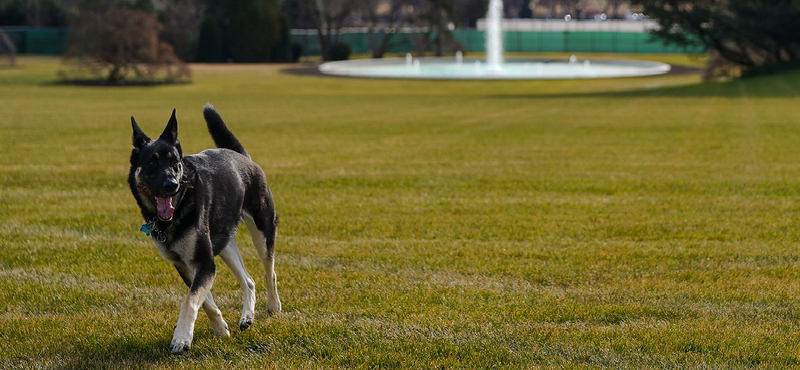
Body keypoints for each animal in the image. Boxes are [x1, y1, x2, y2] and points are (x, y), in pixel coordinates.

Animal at [128, 105, 282, 356]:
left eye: (176, 162)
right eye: (151, 163)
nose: (172, 185)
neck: (178, 209)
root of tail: (243, 157)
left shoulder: (205, 262)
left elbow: (190, 300)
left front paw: (181, 337)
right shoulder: (187, 264)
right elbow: (204, 300)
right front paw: (220, 328)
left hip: (262, 229)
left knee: (270, 270)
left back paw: (273, 305)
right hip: (224, 243)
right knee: (248, 280)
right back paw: (247, 317)